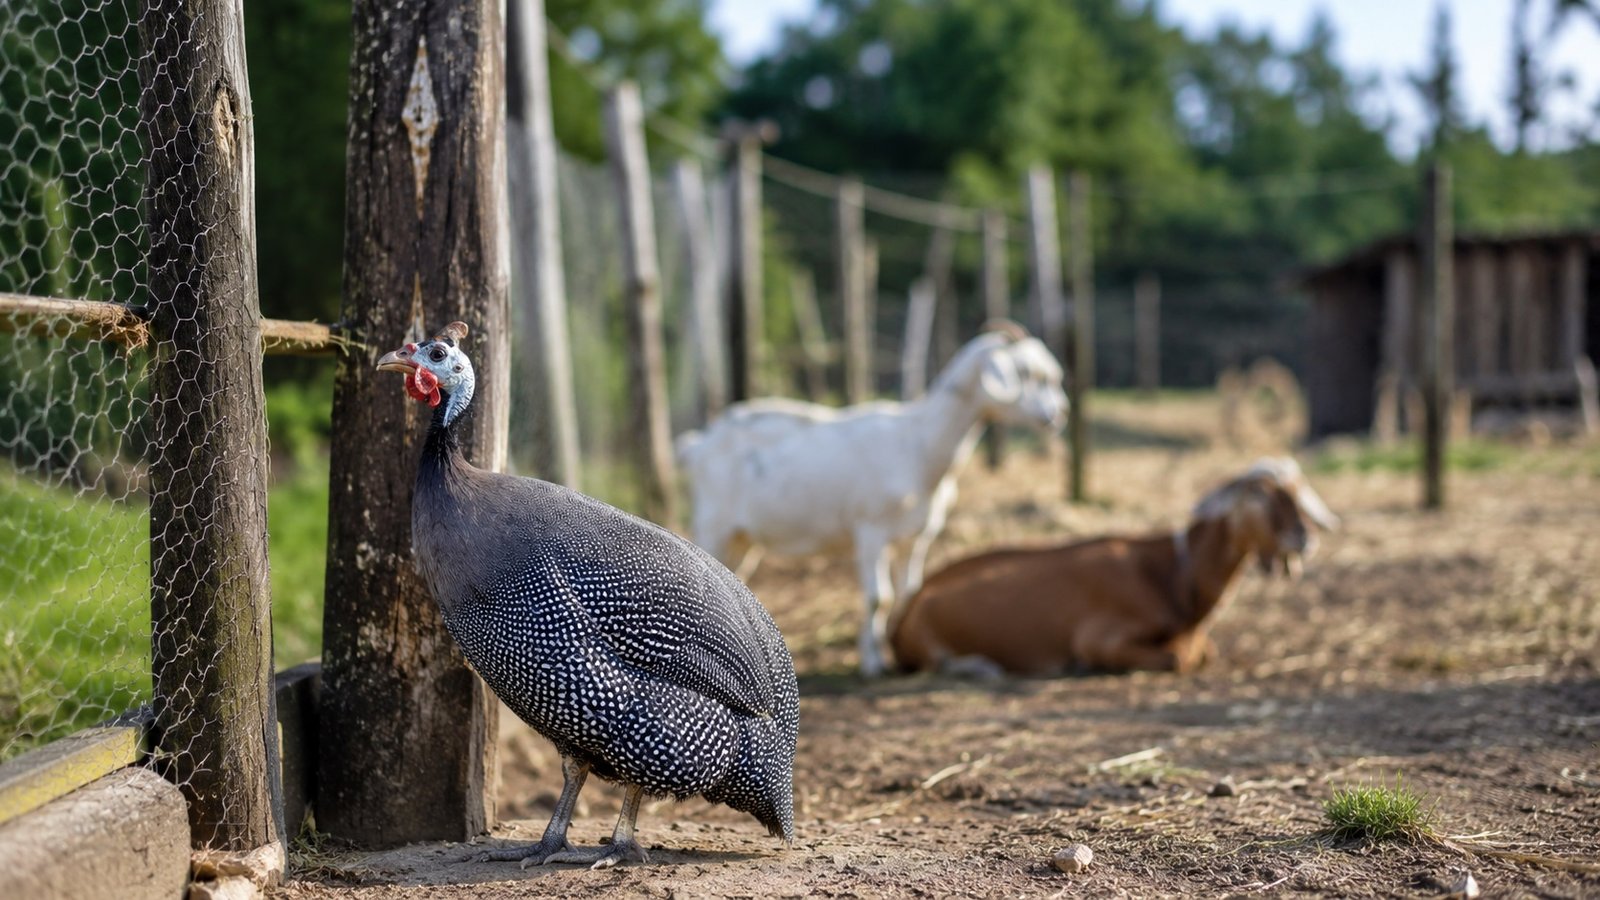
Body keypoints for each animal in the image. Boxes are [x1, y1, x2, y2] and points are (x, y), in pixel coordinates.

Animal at [676, 323, 1068, 677]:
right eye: (1027, 373)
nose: (1059, 414)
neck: (918, 444)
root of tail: (697, 445)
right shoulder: (871, 529)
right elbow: (878, 597)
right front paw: (872, 664)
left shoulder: (917, 535)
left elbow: (908, 591)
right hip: (713, 524)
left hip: (743, 539)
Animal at [889, 458, 1339, 676]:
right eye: (1258, 494)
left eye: (1297, 491)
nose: (1304, 537)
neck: (1173, 576)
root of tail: (910, 604)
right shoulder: (1097, 637)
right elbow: (1178, 659)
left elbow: (1202, 654)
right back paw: (979, 667)